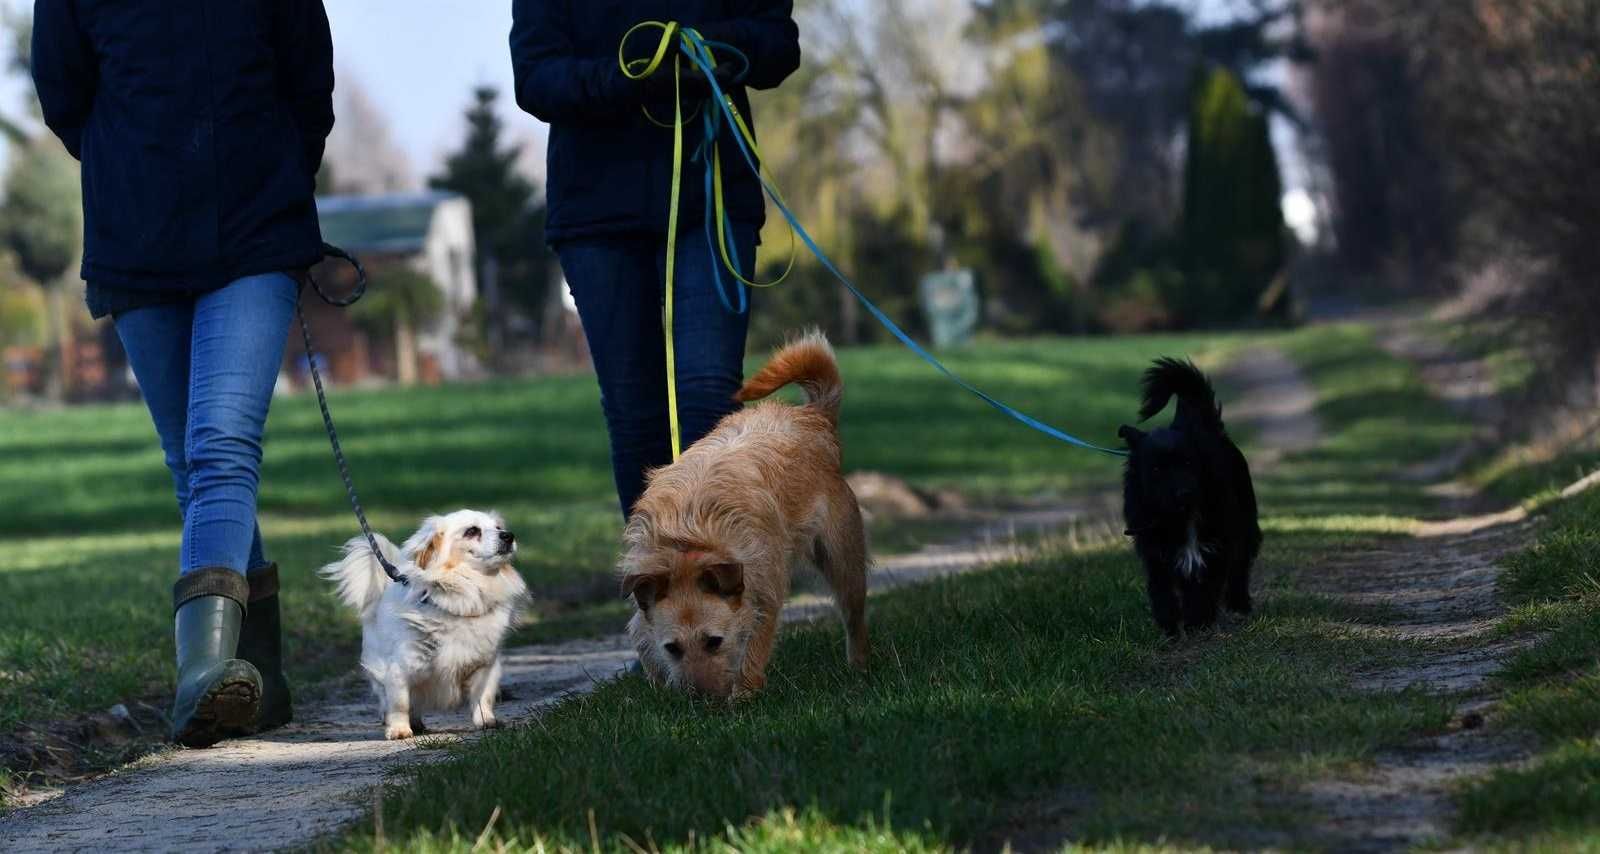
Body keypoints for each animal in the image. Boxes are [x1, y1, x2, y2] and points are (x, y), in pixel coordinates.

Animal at [320, 508, 531, 742]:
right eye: (472, 531)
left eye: (498, 527)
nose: (508, 536)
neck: (464, 598)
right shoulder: (400, 668)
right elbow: (400, 703)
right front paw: (399, 729)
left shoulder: (485, 665)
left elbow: (482, 697)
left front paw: (486, 721)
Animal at [617, 331, 870, 700]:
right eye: (673, 648)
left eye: (714, 642)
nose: (703, 701)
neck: (687, 544)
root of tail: (812, 416)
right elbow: (644, 642)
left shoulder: (763, 594)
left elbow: (755, 646)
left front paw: (745, 693)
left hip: (843, 563)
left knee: (854, 617)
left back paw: (859, 666)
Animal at [1120, 358, 1254, 639]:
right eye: (1156, 469)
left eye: (1189, 463)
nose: (1184, 492)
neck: (1181, 516)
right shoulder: (1155, 552)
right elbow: (1161, 590)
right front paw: (1169, 625)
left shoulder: (1216, 545)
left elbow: (1204, 587)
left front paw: (1197, 620)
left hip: (1246, 523)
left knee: (1240, 565)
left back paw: (1239, 604)